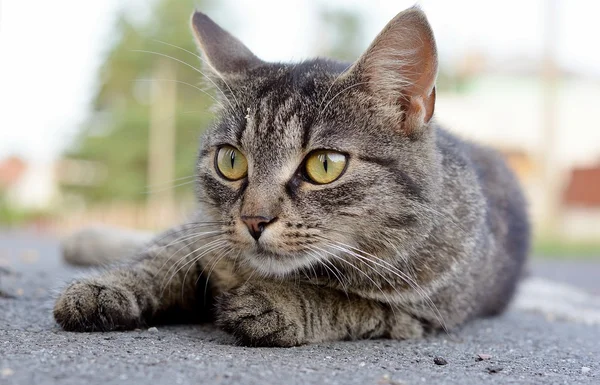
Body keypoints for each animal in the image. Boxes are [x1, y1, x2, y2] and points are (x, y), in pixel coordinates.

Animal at [52, 7, 528, 346]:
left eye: (325, 165)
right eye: (231, 161)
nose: (254, 220)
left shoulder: (421, 313)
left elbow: (343, 300)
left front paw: (278, 303)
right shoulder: (198, 235)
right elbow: (160, 257)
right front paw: (105, 286)